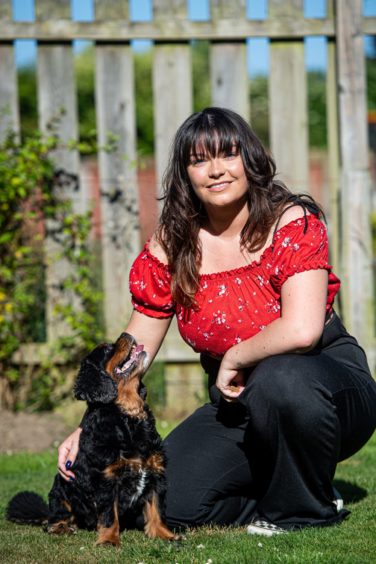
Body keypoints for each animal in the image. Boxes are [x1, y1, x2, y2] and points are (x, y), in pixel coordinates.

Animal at [6, 332, 178, 544]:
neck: (128, 415)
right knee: (53, 519)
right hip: (60, 490)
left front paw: (164, 534)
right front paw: (109, 540)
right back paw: (61, 527)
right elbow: (109, 514)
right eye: (106, 349)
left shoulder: (155, 473)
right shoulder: (106, 478)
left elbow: (156, 509)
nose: (127, 334)